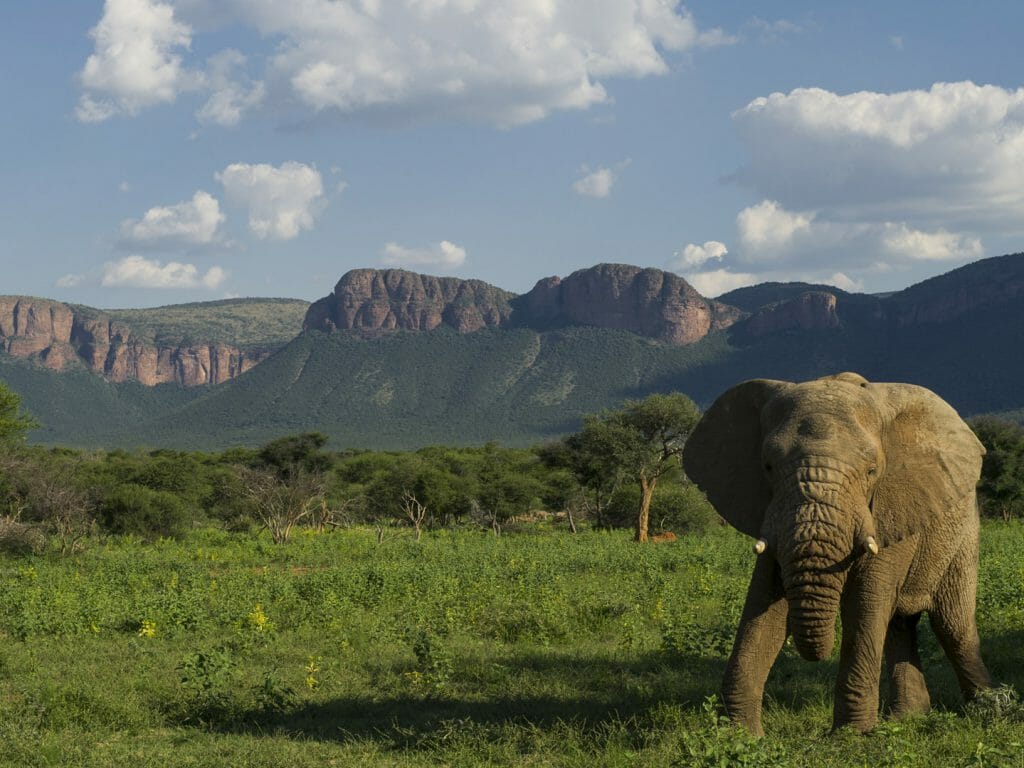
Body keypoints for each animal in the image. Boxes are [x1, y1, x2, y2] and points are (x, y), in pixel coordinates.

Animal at [681, 372, 991, 735]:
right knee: (899, 625)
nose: (819, 656)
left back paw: (989, 709)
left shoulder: (890, 510)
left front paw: (850, 737)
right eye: (768, 466)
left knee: (952, 626)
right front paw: (739, 736)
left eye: (872, 471)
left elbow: (864, 603)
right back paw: (908, 718)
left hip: (964, 534)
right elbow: (763, 604)